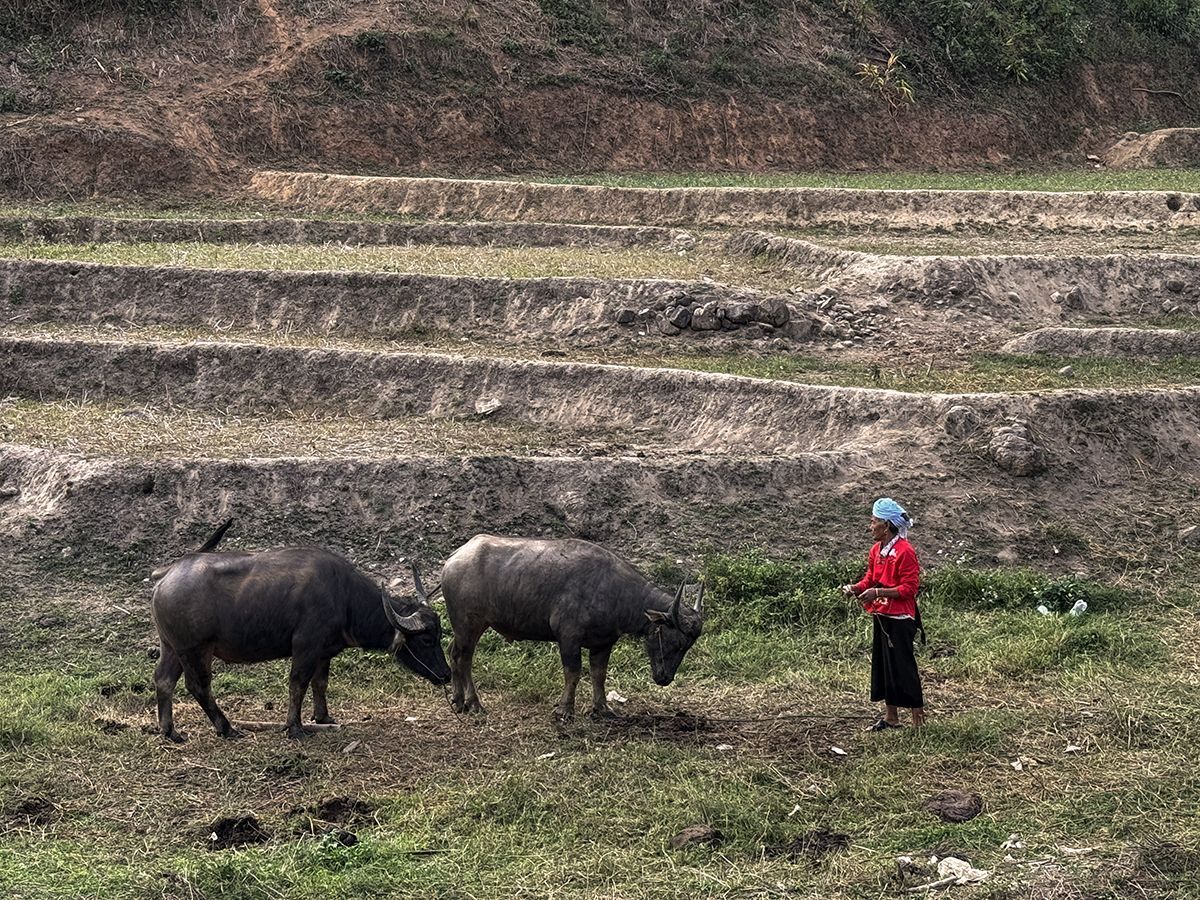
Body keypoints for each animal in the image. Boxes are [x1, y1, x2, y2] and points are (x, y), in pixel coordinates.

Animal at [150, 522, 451, 741]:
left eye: (439, 636)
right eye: (426, 639)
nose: (446, 674)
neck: (344, 597)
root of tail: (168, 574)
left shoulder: (324, 652)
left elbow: (320, 683)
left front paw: (323, 718)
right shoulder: (305, 646)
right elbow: (298, 683)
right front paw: (294, 727)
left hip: (172, 648)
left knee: (164, 680)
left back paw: (170, 731)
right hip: (196, 649)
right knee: (198, 686)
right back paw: (227, 728)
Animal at [440, 534, 704, 721]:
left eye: (688, 646)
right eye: (677, 641)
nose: (665, 678)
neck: (614, 590)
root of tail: (454, 557)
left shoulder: (603, 643)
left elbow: (599, 674)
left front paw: (602, 708)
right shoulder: (568, 637)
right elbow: (573, 672)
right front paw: (565, 709)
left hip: (464, 628)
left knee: (453, 652)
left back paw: (458, 700)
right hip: (469, 624)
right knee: (464, 659)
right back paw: (474, 703)